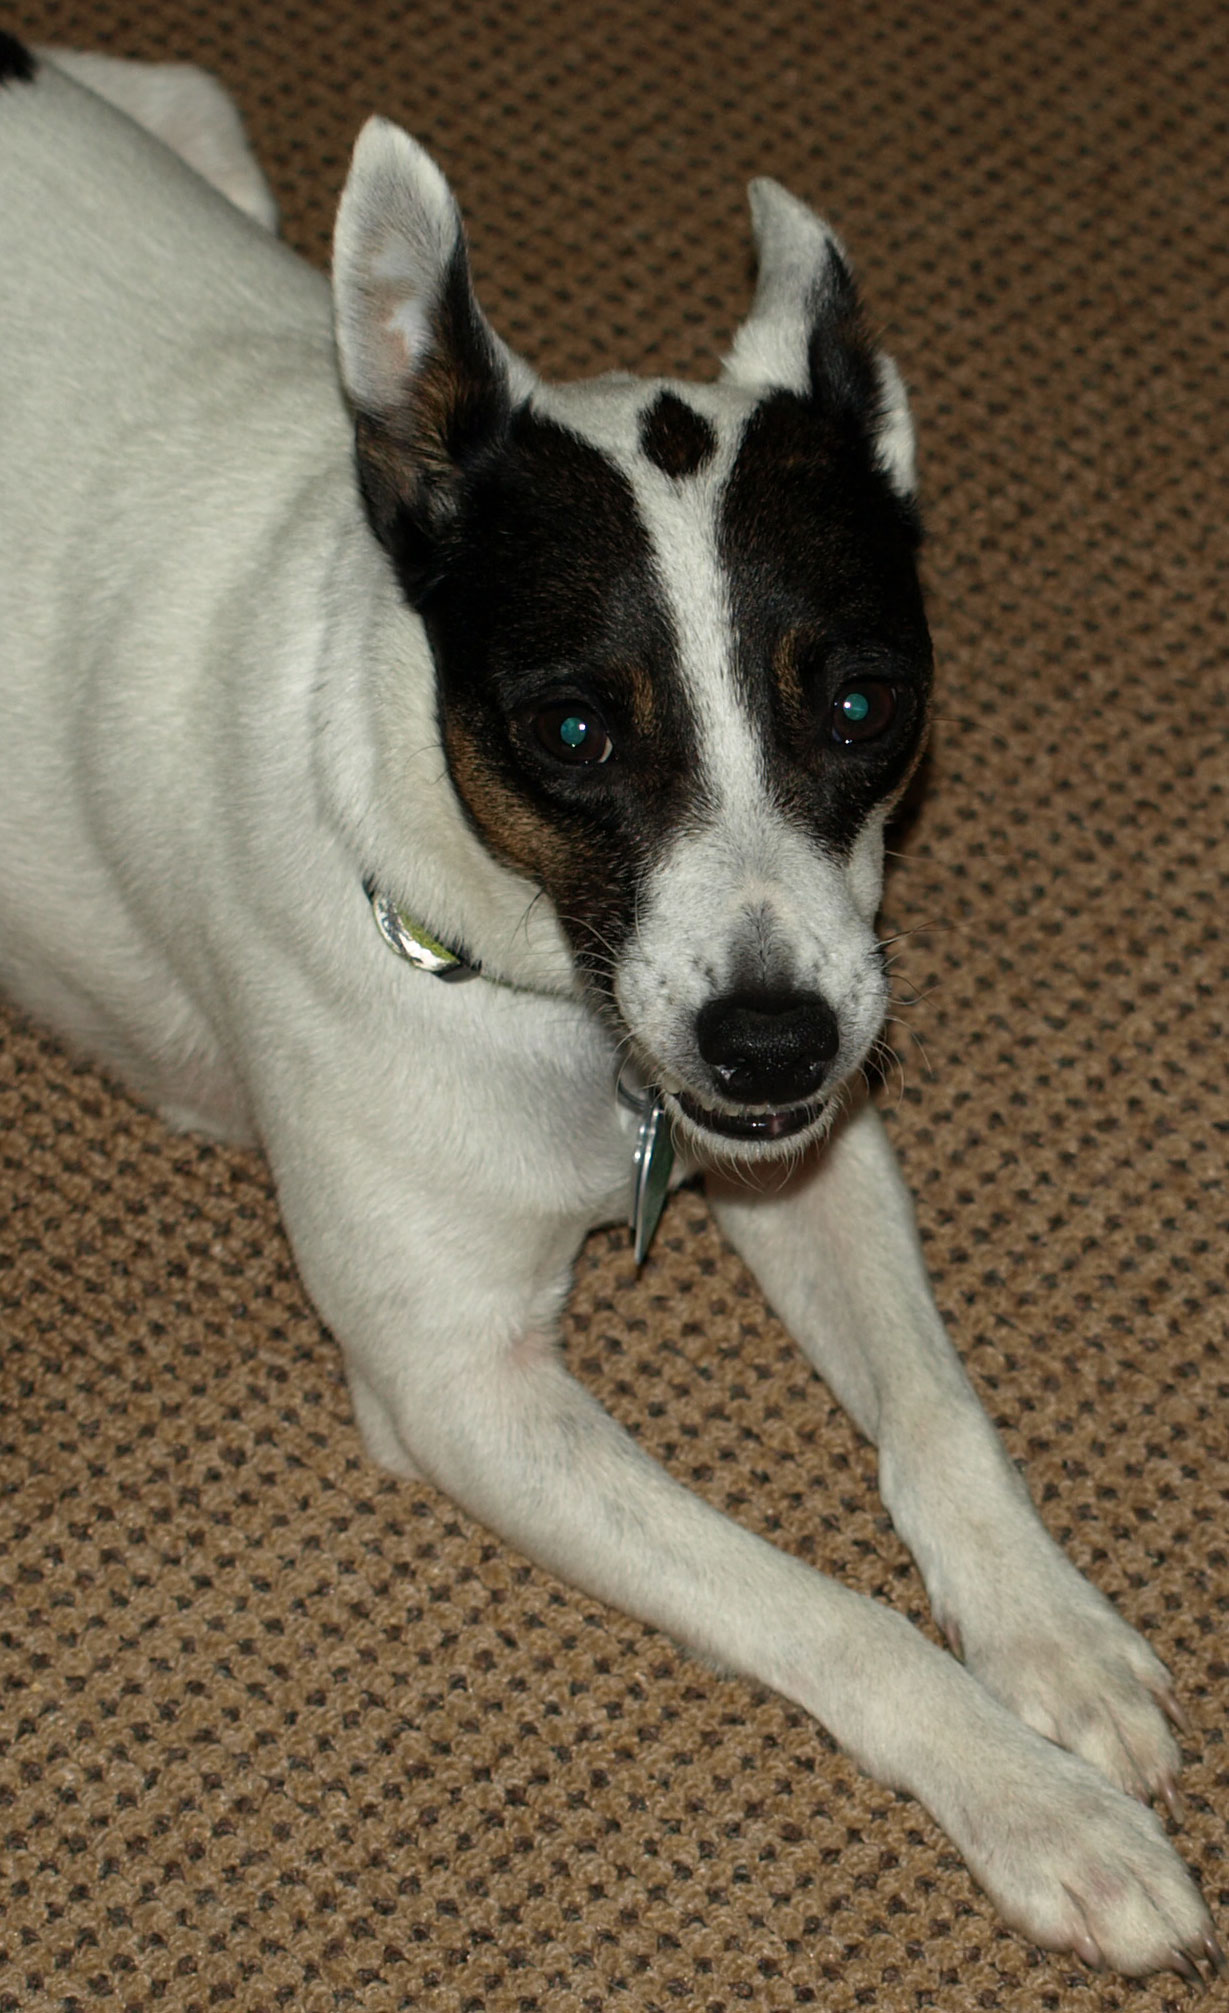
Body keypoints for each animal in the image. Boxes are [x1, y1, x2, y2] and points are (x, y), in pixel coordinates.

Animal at [0, 37, 1221, 1978]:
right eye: (571, 729)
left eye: (864, 699)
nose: (770, 1045)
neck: (535, 981)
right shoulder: (461, 1387)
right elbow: (828, 1611)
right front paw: (1031, 1799)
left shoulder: (814, 1157)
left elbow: (940, 1418)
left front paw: (1048, 1633)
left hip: (194, 119)